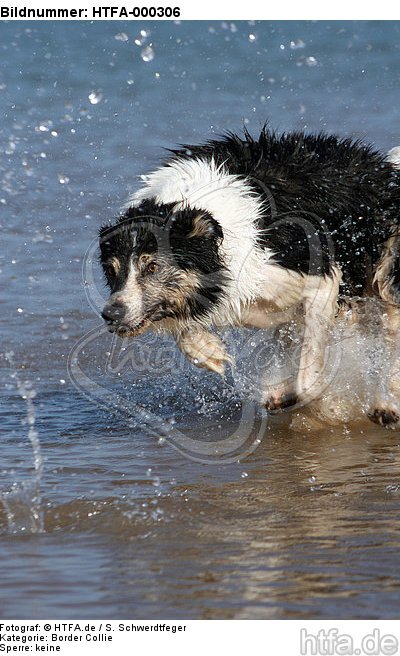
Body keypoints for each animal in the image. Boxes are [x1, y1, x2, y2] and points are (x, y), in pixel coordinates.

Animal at [99, 128, 400, 426]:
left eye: (152, 267)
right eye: (112, 270)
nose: (110, 314)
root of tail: (382, 167)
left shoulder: (317, 277)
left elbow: (308, 379)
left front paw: (316, 401)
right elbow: (186, 329)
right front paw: (209, 351)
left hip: (385, 273)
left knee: (391, 327)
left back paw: (385, 405)